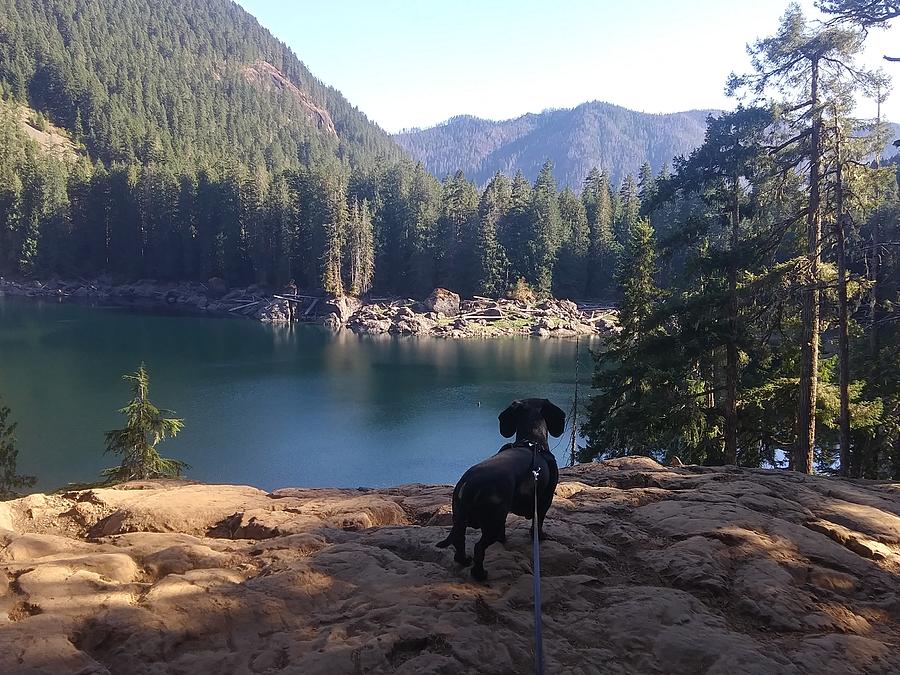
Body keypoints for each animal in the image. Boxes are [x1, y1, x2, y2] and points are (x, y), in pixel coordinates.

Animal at [434, 398, 564, 584]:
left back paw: (464, 560)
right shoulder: (544, 501)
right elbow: (537, 523)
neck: (531, 443)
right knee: (479, 547)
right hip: (491, 524)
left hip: (461, 519)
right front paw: (539, 536)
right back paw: (480, 574)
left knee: (459, 541)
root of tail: (470, 485)